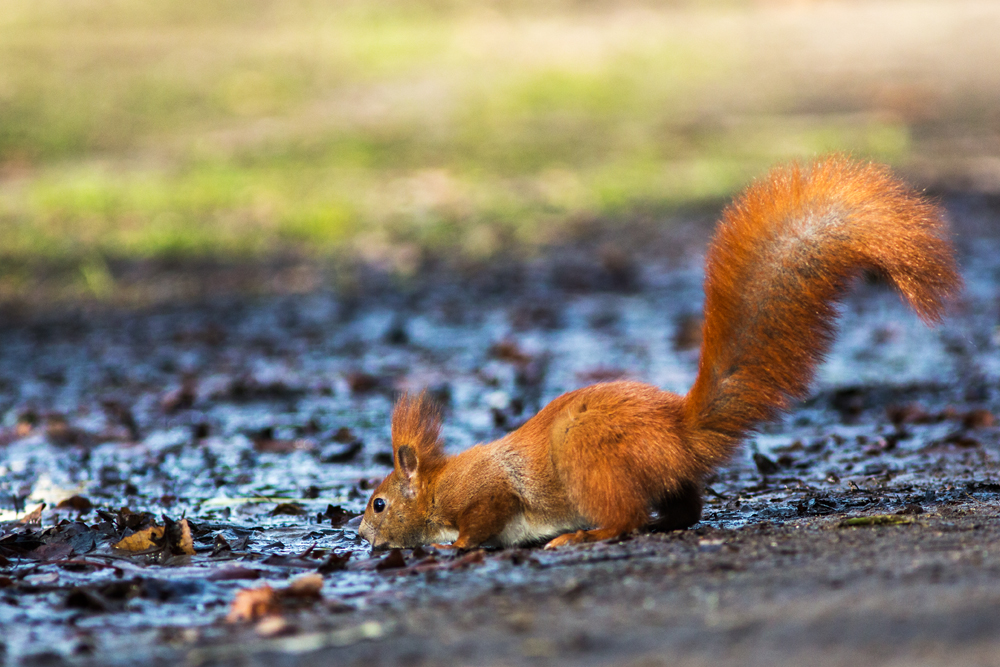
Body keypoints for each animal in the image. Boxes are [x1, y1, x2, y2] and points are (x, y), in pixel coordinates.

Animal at [358, 158, 960, 552]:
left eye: (378, 503)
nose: (359, 533)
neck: (436, 485)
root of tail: (680, 434)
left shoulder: (485, 494)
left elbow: (482, 522)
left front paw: (452, 547)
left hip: (590, 462)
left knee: (622, 516)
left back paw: (584, 536)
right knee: (683, 510)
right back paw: (656, 525)